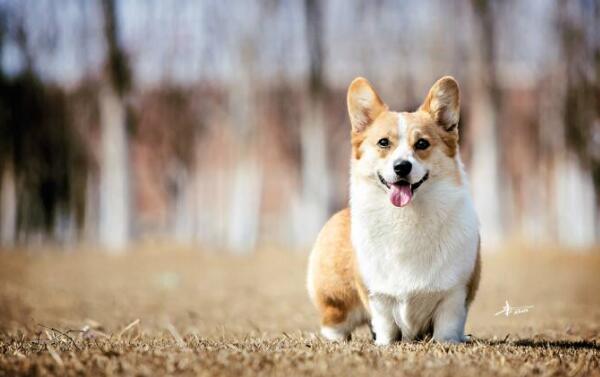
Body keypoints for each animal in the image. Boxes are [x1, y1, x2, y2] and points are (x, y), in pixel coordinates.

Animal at [308, 76, 480, 344]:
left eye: (422, 143)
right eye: (383, 142)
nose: (401, 167)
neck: (406, 216)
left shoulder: (454, 293)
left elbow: (447, 326)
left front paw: (449, 343)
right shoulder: (378, 295)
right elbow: (385, 324)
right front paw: (384, 345)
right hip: (337, 301)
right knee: (334, 324)